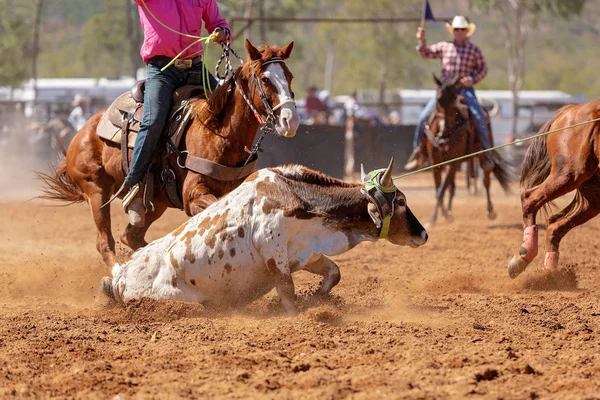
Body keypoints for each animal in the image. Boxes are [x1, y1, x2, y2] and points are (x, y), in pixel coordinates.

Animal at [37, 39, 300, 268]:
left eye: (289, 76)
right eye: (265, 79)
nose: (291, 121)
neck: (219, 133)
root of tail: (82, 132)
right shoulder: (193, 195)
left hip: (156, 201)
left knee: (131, 236)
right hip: (96, 190)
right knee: (105, 242)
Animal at [104, 159, 432, 316]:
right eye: (400, 201)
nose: (424, 233)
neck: (294, 195)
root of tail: (121, 275)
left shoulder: (307, 252)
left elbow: (333, 273)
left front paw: (317, 298)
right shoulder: (274, 252)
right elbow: (287, 291)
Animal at [422, 74, 510, 225]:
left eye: (454, 99)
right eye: (438, 99)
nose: (445, 126)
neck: (445, 135)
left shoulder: (454, 162)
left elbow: (442, 190)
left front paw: (436, 217)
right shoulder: (435, 162)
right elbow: (439, 189)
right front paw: (439, 217)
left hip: (483, 151)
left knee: (486, 176)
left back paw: (490, 211)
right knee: (452, 187)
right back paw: (450, 211)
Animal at [506, 98, 600, 278]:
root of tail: (569, 111)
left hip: (593, 193)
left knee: (554, 226)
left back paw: (551, 276)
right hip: (568, 174)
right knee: (529, 199)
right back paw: (525, 253)